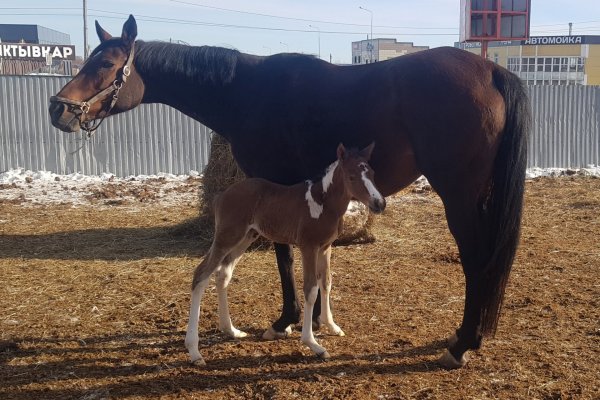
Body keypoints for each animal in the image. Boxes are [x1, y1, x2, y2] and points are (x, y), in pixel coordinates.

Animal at [185, 144, 386, 366]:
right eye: (351, 177)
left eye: (372, 173)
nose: (379, 203)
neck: (323, 203)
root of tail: (221, 196)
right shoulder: (309, 247)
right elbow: (311, 289)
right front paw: (313, 344)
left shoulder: (326, 247)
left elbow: (326, 283)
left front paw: (332, 326)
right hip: (227, 236)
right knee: (201, 274)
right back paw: (194, 351)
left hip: (246, 237)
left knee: (223, 274)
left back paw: (231, 330)